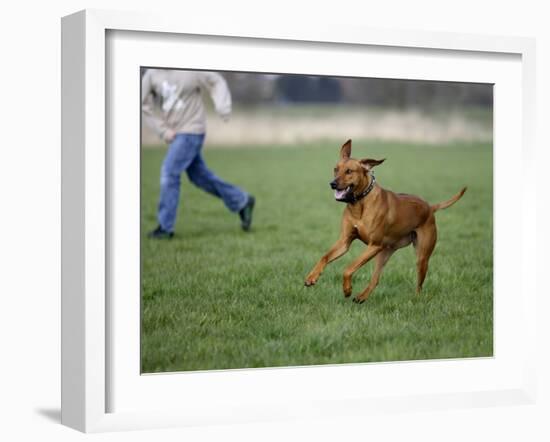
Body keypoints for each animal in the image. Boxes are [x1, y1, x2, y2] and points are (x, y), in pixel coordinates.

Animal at [304, 141, 468, 304]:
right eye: (335, 169)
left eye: (349, 171)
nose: (332, 183)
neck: (359, 203)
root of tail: (430, 207)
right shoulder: (345, 241)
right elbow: (324, 257)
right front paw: (311, 277)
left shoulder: (374, 245)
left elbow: (348, 268)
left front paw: (347, 289)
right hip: (384, 252)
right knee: (376, 279)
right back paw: (362, 297)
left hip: (421, 256)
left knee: (419, 284)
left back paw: (415, 299)